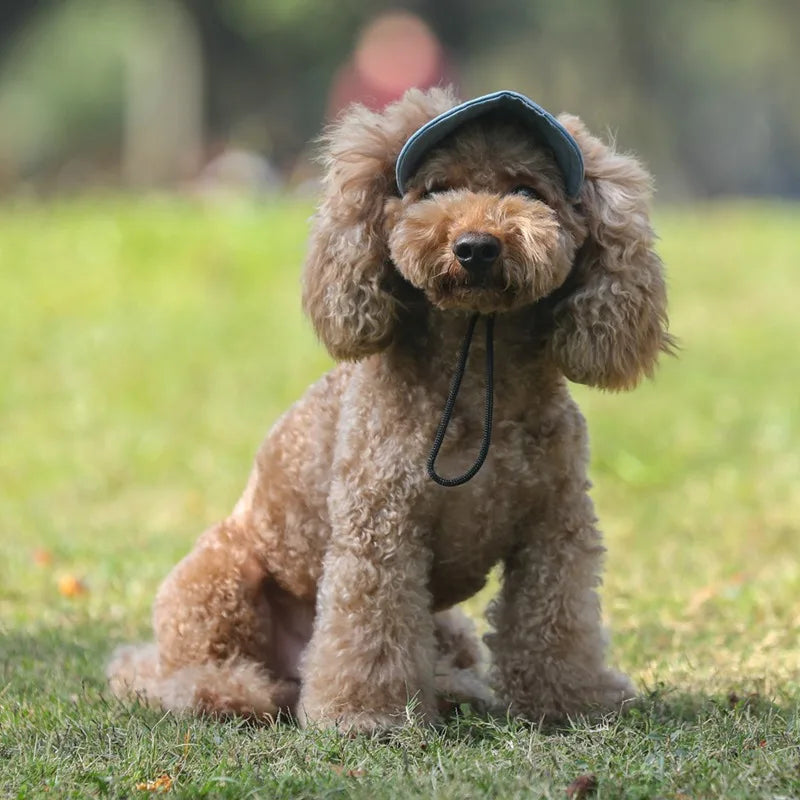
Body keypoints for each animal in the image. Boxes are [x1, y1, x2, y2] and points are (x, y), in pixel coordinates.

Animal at [106, 87, 668, 732]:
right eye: (436, 188)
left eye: (528, 190)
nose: (476, 247)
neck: (476, 368)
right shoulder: (381, 529)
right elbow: (371, 631)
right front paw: (365, 716)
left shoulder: (555, 528)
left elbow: (555, 623)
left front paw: (571, 702)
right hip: (216, 582)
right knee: (164, 676)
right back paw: (235, 692)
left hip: (446, 624)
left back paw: (452, 691)